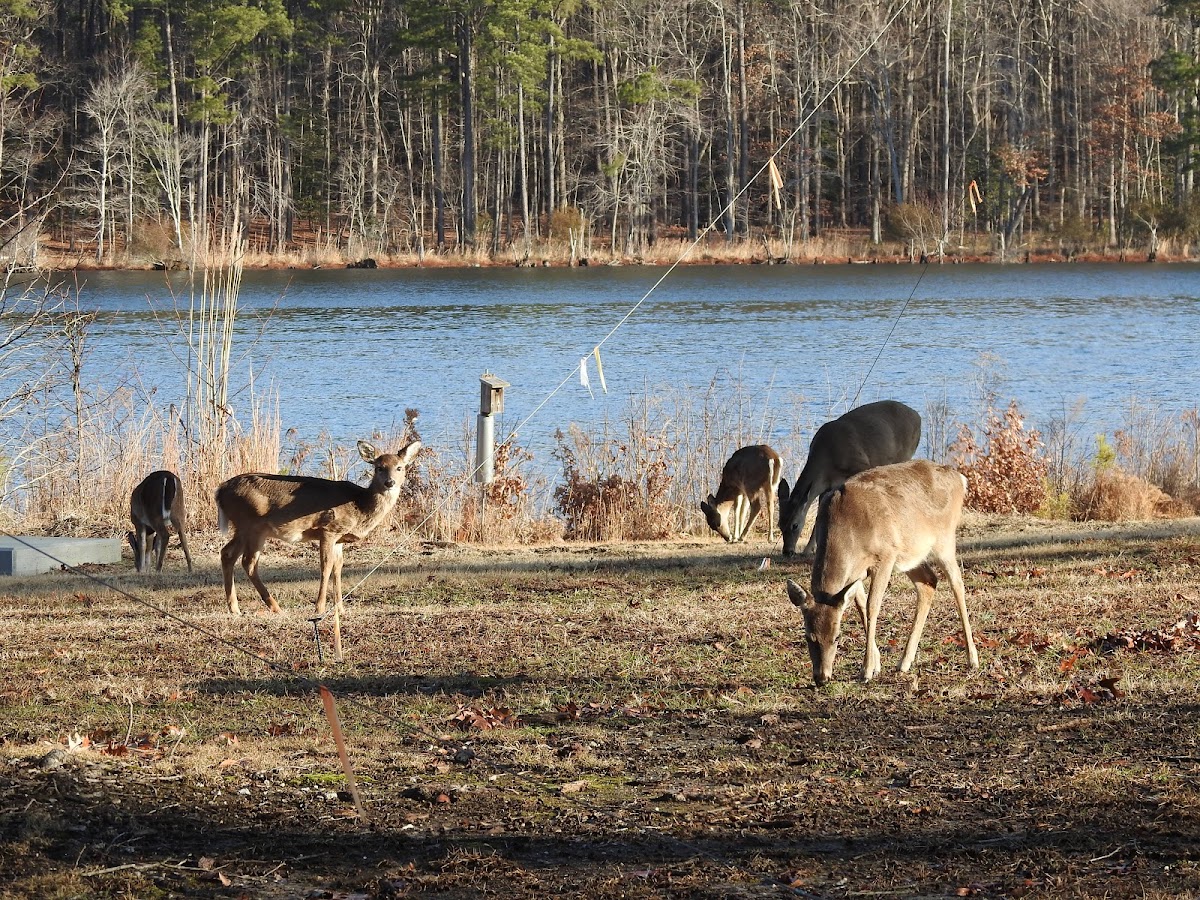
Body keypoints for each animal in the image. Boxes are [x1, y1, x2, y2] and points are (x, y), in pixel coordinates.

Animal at [216, 441, 422, 619]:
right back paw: (274, 606)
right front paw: (320, 608)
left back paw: (234, 608)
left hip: (243, 528)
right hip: (252, 525)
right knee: (248, 562)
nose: (390, 483)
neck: (359, 506)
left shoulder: (339, 538)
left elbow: (338, 567)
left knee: (227, 553)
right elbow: (326, 566)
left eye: (400, 467)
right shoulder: (328, 529)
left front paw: (340, 609)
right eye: (379, 467)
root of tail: (219, 490)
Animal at [772, 400, 921, 556]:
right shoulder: (827, 486)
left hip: (904, 454)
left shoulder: (862, 465)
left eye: (795, 525)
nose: (787, 551)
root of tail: (918, 416)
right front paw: (810, 549)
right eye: (779, 524)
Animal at [787, 460, 974, 686]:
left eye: (837, 636)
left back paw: (972, 659)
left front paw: (867, 670)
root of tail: (960, 479)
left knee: (957, 584)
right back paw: (904, 662)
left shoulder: (885, 556)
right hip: (910, 554)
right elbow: (860, 606)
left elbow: (872, 606)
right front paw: (876, 665)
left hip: (944, 540)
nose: (822, 678)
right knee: (929, 582)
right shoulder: (856, 572)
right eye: (808, 636)